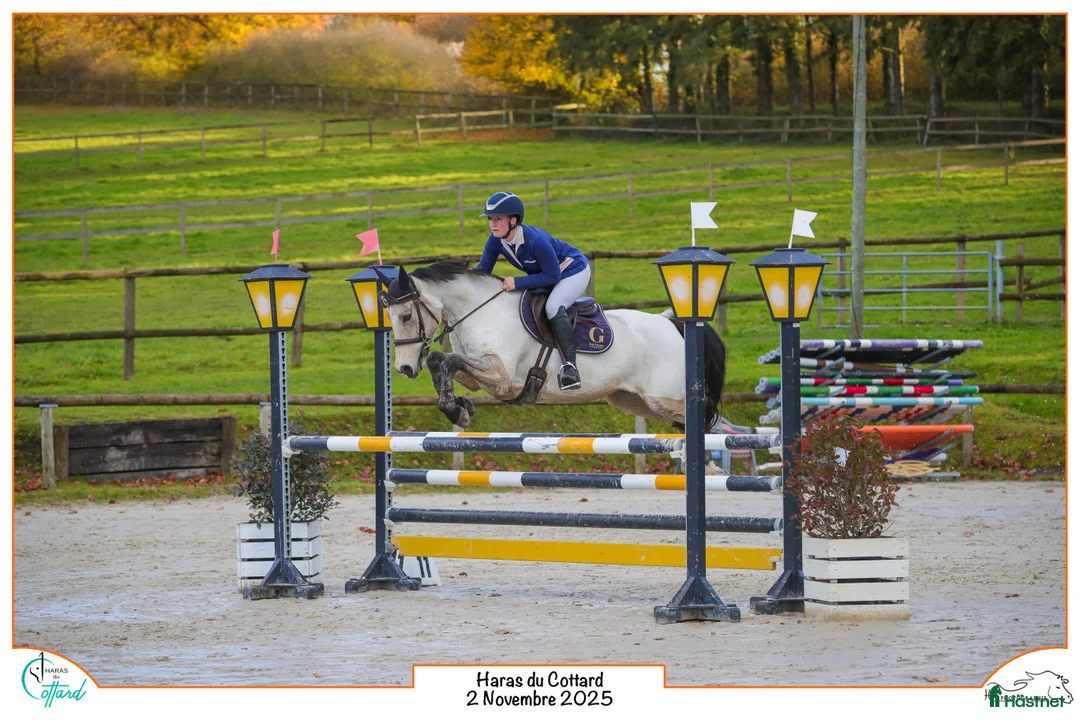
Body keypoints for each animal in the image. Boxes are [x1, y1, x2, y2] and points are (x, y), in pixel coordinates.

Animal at [376, 261, 726, 430]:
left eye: (406, 315)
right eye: (389, 317)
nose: (404, 367)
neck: (480, 309)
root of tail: (669, 322)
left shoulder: (503, 377)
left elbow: (445, 360)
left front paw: (457, 412)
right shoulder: (478, 374)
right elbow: (442, 361)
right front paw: (459, 409)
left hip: (661, 397)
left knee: (700, 414)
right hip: (631, 400)